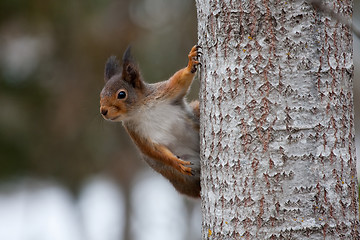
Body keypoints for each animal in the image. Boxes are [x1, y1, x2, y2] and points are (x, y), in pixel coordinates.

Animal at [100, 46, 201, 198]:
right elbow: (154, 150)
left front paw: (190, 62)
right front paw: (177, 163)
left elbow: (180, 81)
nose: (103, 111)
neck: (140, 110)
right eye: (101, 95)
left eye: (121, 94)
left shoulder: (165, 92)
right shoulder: (137, 133)